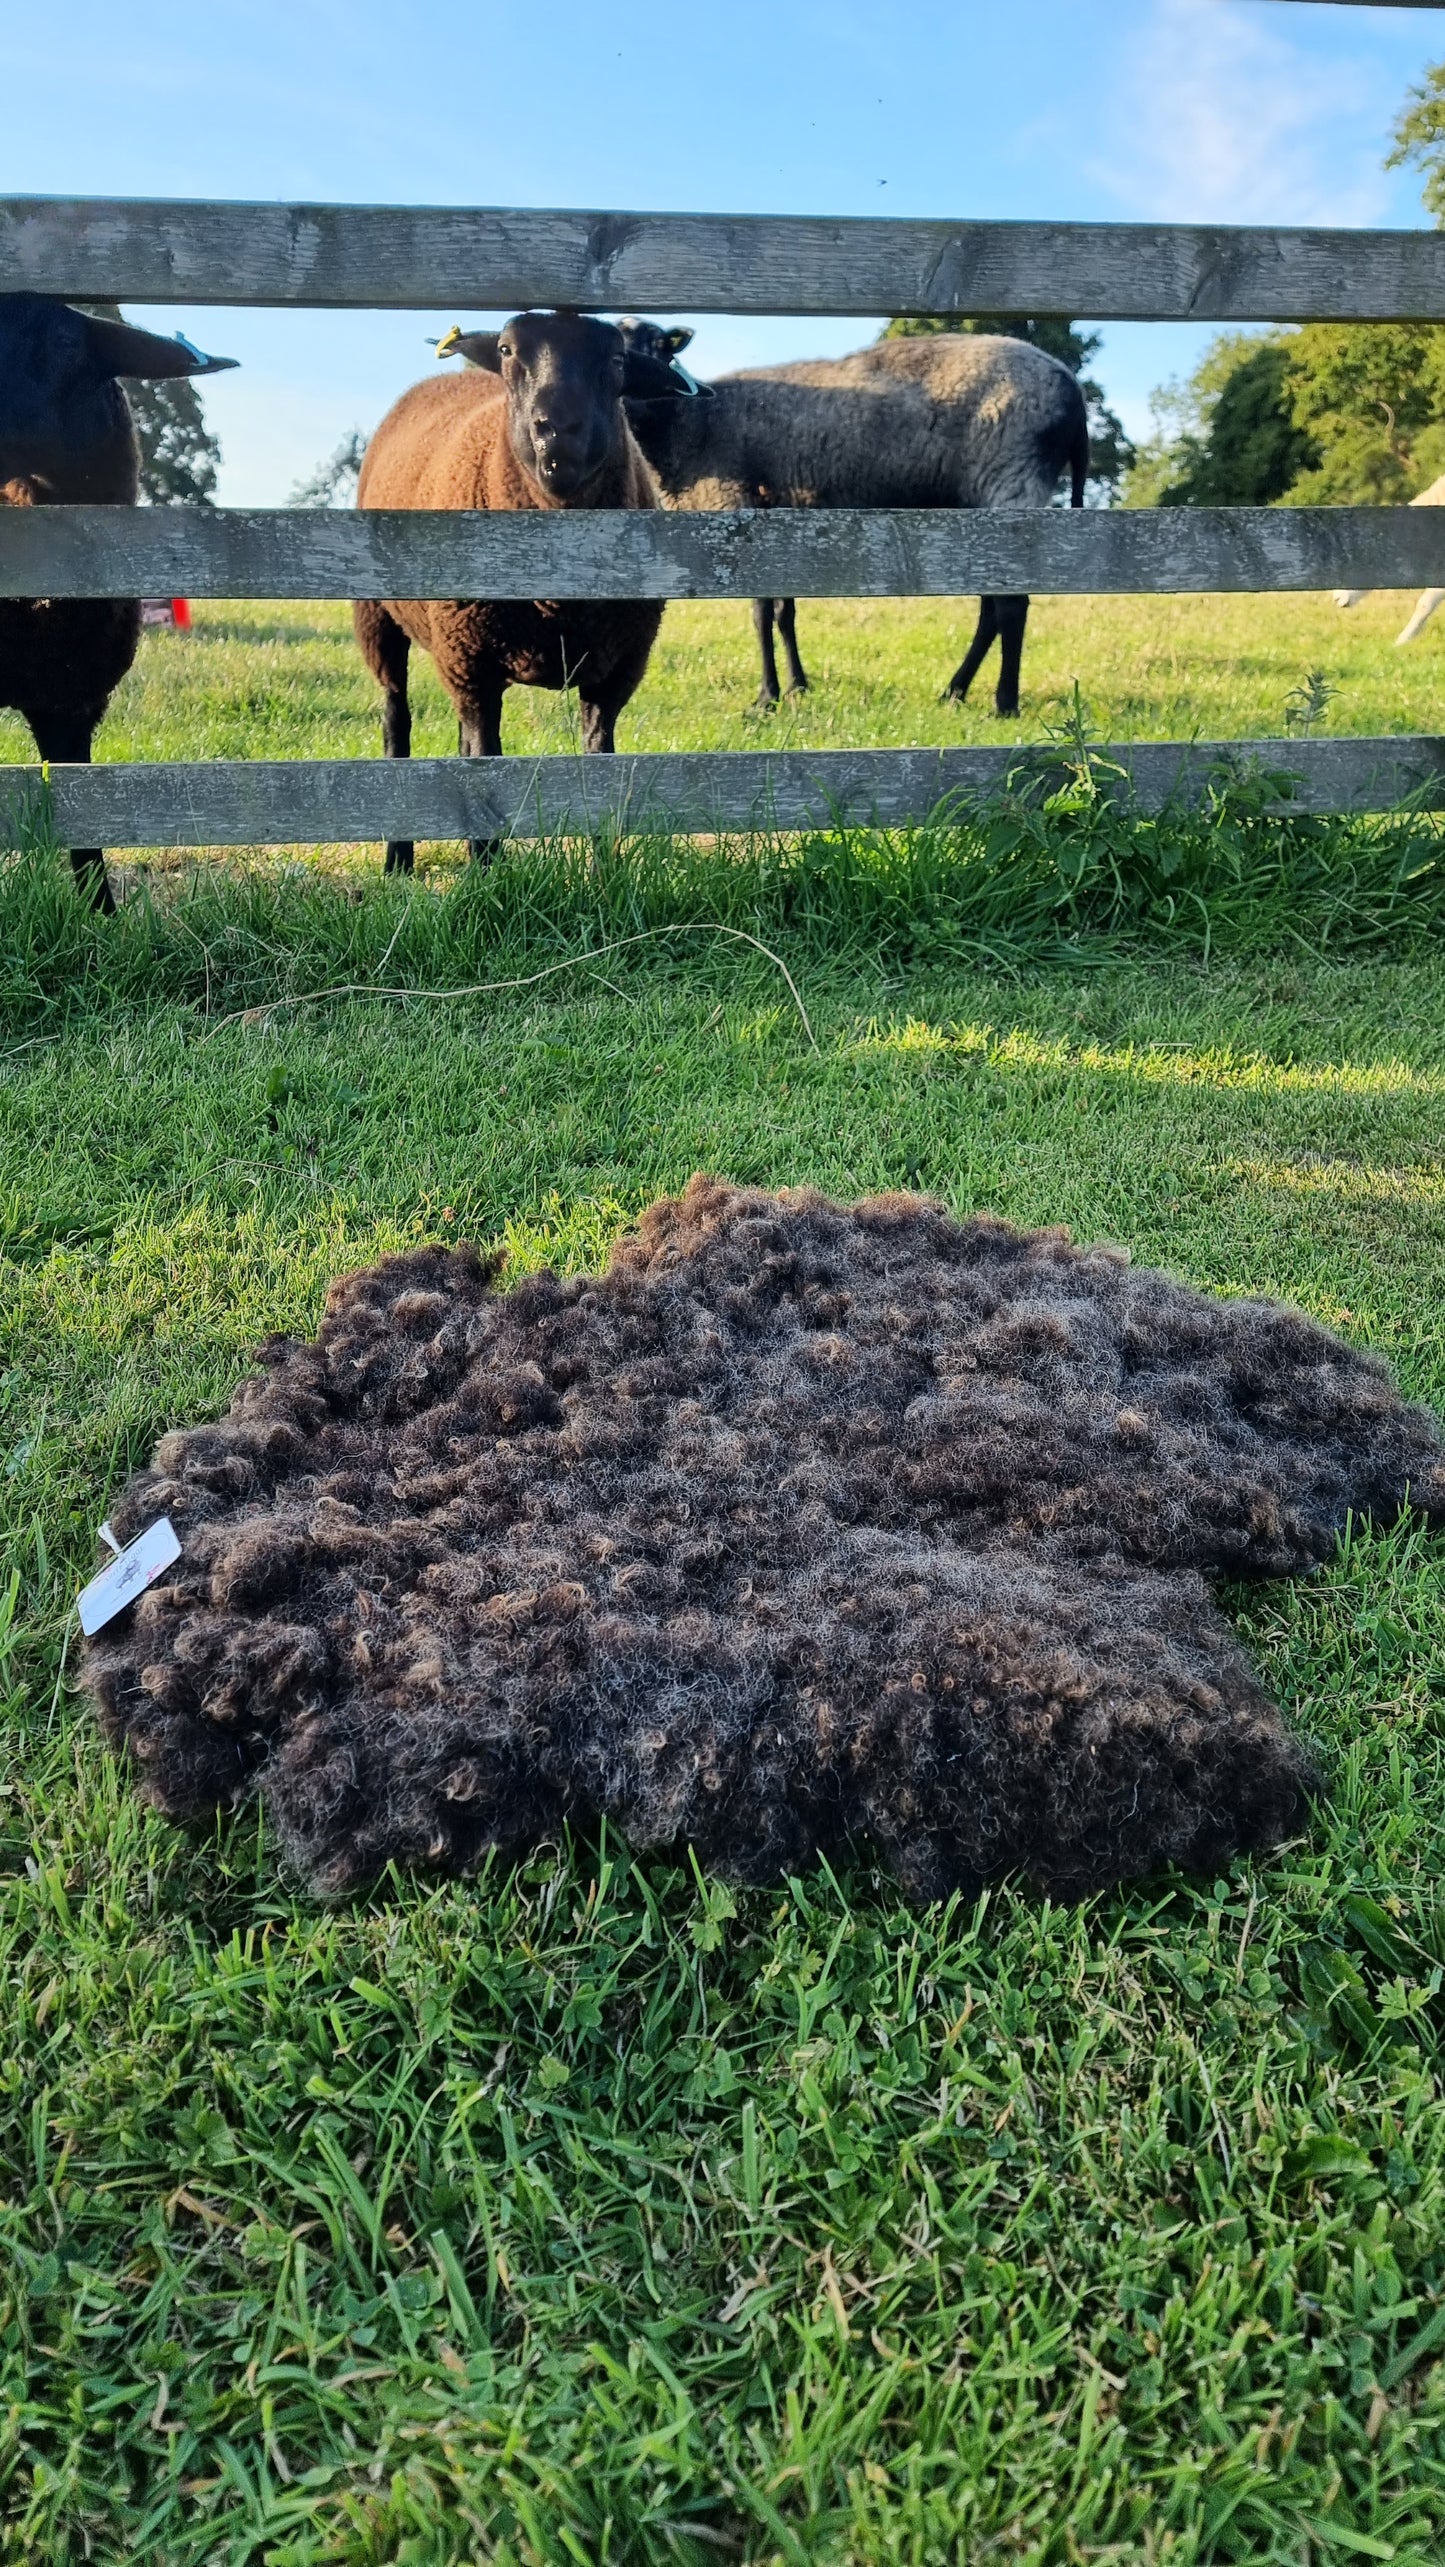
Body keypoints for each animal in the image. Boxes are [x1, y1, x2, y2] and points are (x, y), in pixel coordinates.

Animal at [356, 304, 703, 872]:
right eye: (505, 350)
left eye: (615, 360)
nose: (557, 431)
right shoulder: (471, 660)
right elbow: (487, 769)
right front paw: (486, 876)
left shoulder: (616, 670)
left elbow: (596, 765)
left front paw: (602, 872)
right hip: (378, 618)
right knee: (396, 722)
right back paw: (398, 859)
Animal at [615, 326, 1093, 723]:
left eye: (660, 345)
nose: (631, 399)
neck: (688, 423)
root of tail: (1072, 391)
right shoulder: (783, 514)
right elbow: (784, 613)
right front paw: (797, 687)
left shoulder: (742, 504)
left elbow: (760, 612)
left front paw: (768, 697)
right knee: (990, 608)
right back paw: (954, 691)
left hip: (1009, 481)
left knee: (1011, 606)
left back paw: (1003, 703)